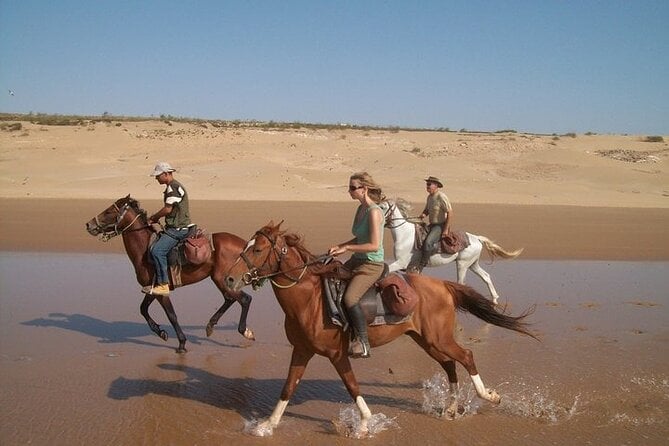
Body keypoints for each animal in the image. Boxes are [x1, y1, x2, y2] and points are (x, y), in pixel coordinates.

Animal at [85, 195, 255, 353]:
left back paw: (245, 331)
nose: (89, 224)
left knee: (244, 299)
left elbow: (171, 315)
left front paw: (181, 343)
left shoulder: (161, 290)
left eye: (109, 211)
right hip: (220, 279)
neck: (145, 250)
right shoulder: (152, 289)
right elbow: (143, 309)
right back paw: (210, 326)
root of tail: (245, 245)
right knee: (230, 299)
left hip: (223, 279)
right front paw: (161, 332)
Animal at [224, 221, 536, 436]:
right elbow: (288, 387)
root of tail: (444, 285)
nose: (229, 279)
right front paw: (267, 425)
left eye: (258, 249)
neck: (310, 299)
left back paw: (488, 396)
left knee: (466, 357)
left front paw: (365, 425)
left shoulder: (338, 354)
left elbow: (352, 386)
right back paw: (449, 408)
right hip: (427, 340)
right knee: (450, 364)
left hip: (439, 338)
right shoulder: (301, 351)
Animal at [379, 199, 523, 304]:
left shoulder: (400, 263)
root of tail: (476, 238)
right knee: (486, 277)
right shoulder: (410, 267)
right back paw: (494, 299)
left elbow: (386, 271)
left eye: (382, 207)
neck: (405, 235)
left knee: (462, 283)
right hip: (472, 264)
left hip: (462, 265)